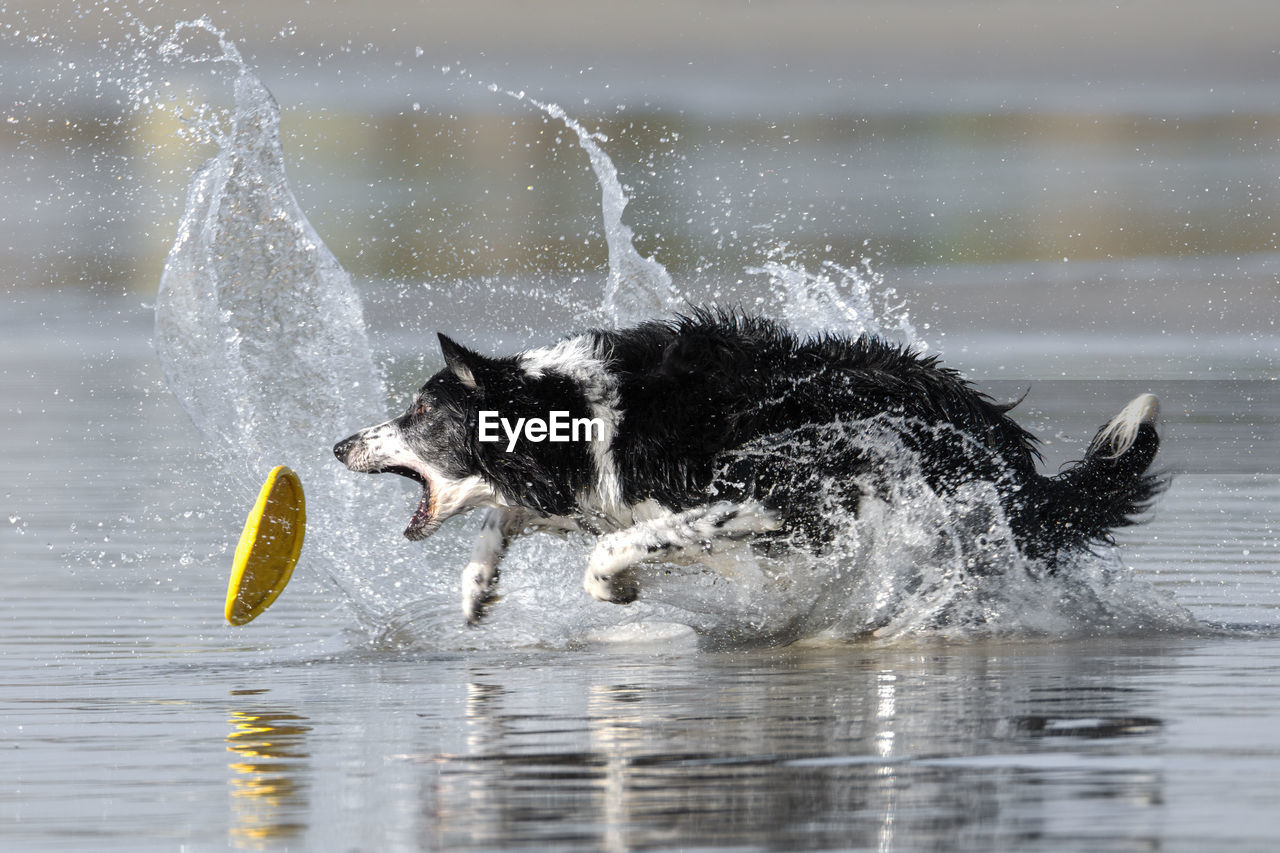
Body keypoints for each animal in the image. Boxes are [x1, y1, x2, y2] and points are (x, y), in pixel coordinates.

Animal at [335, 308, 1167, 622]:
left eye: (418, 411)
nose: (340, 445)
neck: (587, 413)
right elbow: (510, 515)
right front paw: (477, 585)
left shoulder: (767, 497)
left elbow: (617, 543)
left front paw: (614, 584)